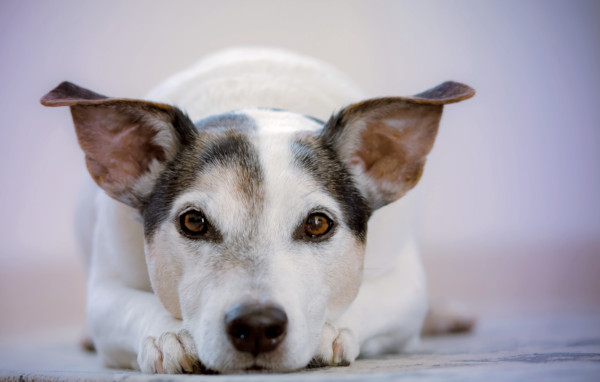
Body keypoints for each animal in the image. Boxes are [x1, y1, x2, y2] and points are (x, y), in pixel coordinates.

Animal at [41, 47, 474, 374]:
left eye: (318, 224)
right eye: (193, 221)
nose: (257, 326)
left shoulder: (406, 284)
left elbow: (370, 298)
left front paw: (329, 330)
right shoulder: (105, 288)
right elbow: (129, 306)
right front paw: (170, 335)